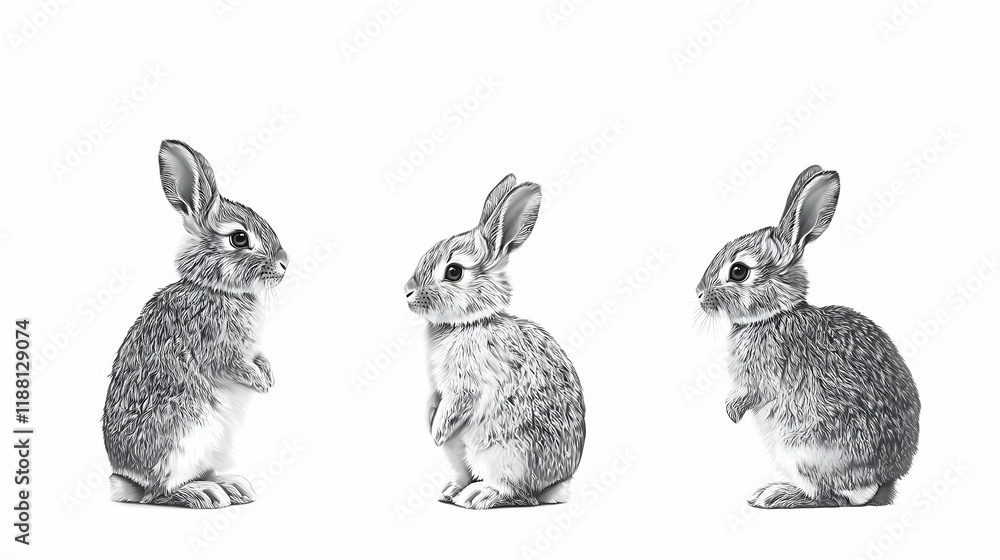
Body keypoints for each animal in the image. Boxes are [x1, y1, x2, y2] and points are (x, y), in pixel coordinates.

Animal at [101, 139, 288, 509]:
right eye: (239, 238)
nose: (285, 263)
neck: (215, 288)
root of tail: (127, 479)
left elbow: (258, 358)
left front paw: (269, 376)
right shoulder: (217, 346)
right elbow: (233, 364)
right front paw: (260, 383)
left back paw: (231, 486)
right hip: (183, 432)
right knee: (160, 493)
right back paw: (204, 493)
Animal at [404, 175, 586, 510]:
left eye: (454, 271)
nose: (407, 292)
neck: (469, 323)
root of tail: (554, 487)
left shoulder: (466, 383)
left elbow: (456, 404)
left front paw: (436, 431)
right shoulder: (439, 387)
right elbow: (434, 400)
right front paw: (428, 420)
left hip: (503, 453)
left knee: (517, 493)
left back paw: (479, 495)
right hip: (460, 455)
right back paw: (451, 491)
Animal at [696, 165, 920, 509]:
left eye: (738, 271)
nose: (698, 294)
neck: (774, 316)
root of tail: (883, 480)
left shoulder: (764, 372)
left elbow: (752, 391)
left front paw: (731, 412)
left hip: (802, 449)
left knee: (830, 496)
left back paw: (775, 495)